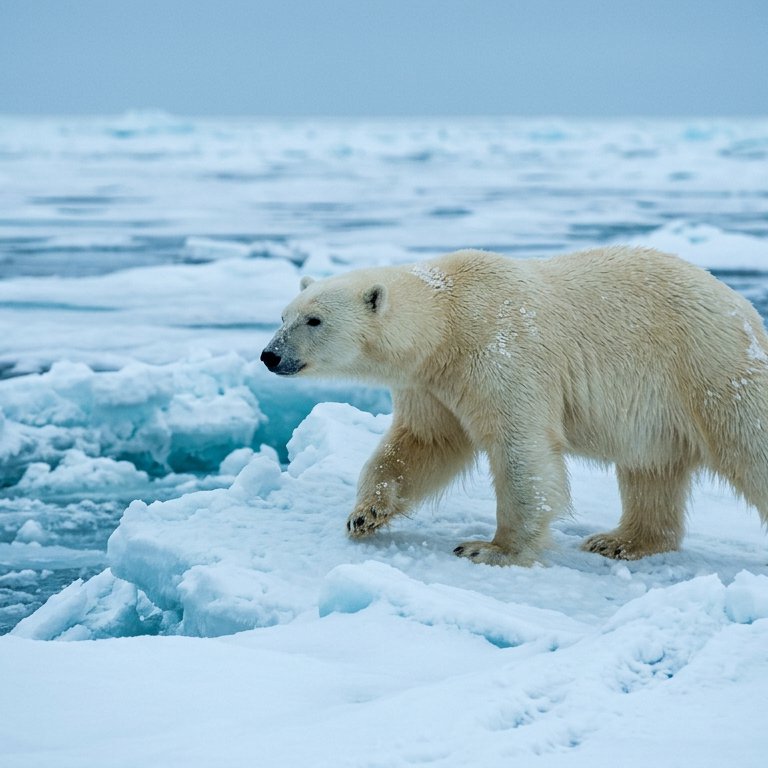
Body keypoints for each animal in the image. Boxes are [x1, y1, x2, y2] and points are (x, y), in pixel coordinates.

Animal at [261, 247, 768, 566]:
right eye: (283, 315)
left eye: (314, 320)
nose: (269, 355)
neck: (448, 319)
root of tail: (745, 309)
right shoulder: (430, 383)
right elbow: (424, 442)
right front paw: (365, 514)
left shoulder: (501, 350)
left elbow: (520, 450)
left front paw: (490, 549)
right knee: (650, 469)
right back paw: (619, 541)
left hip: (708, 366)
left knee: (749, 443)